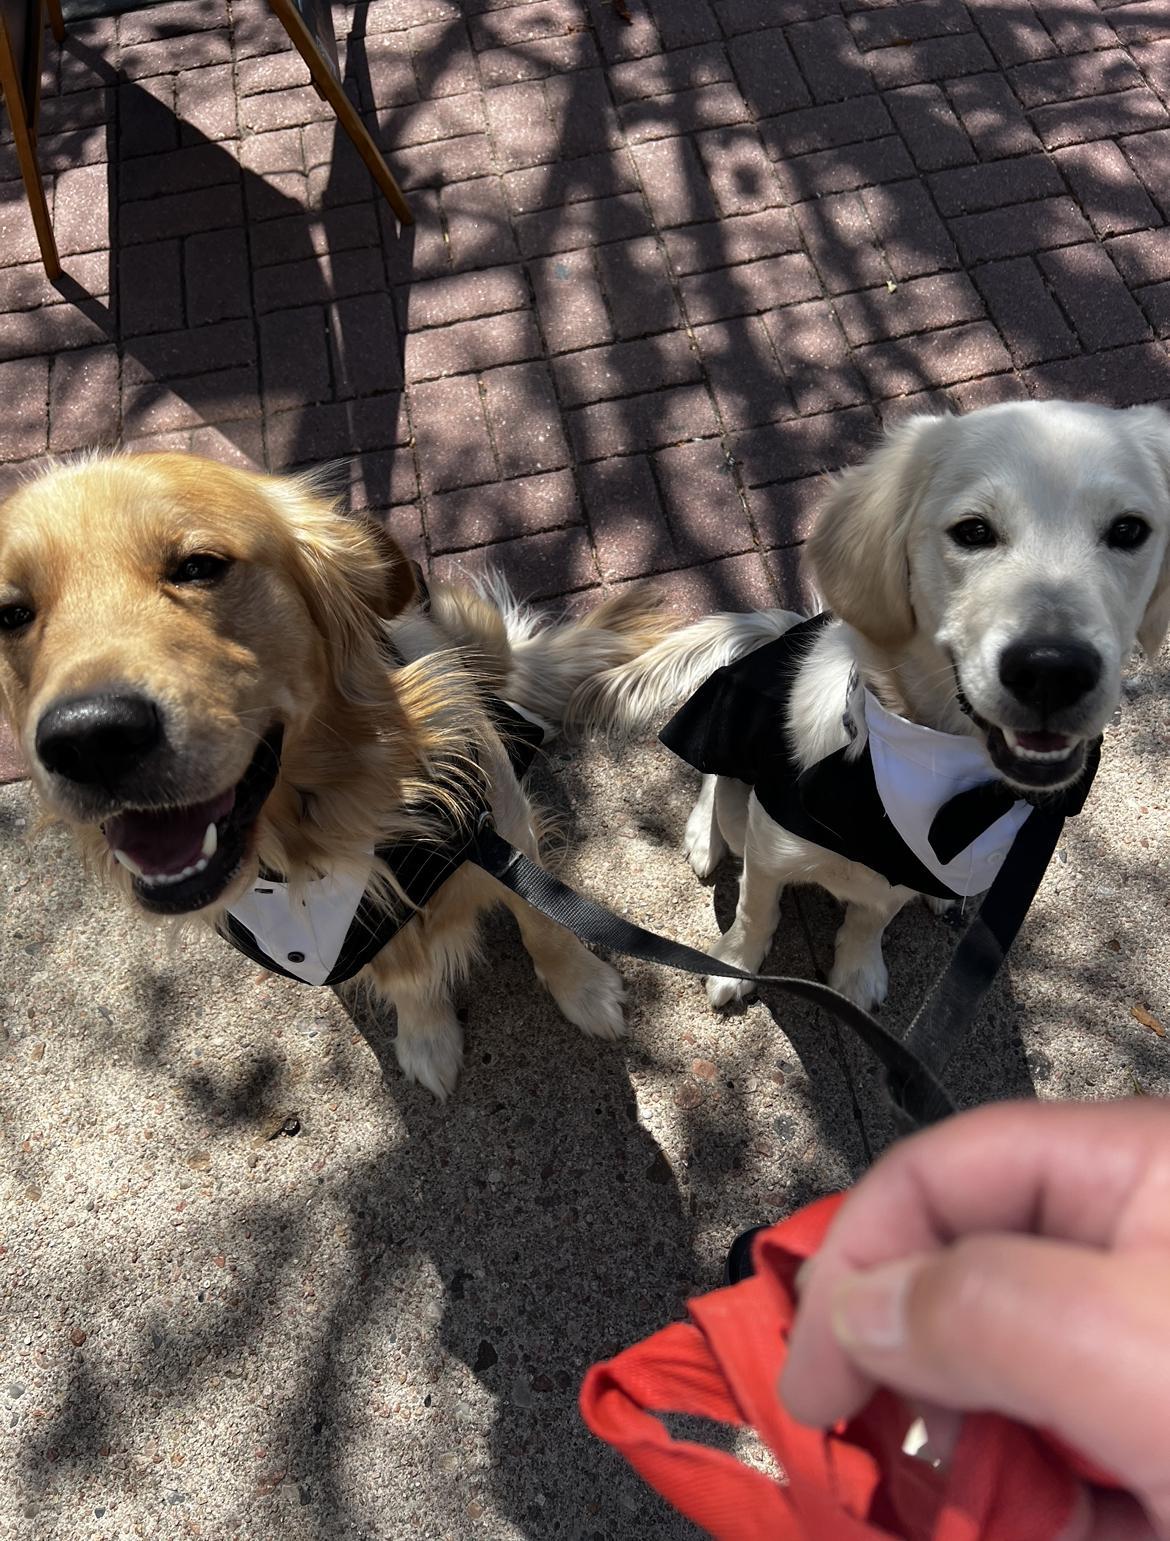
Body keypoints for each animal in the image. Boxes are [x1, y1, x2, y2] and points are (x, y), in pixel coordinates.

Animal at [0, 452, 668, 1098]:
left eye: (198, 566)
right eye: (10, 614)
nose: (89, 740)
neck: (319, 833)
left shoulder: (503, 829)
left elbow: (545, 919)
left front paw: (584, 989)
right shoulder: (355, 940)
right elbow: (409, 980)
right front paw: (427, 1038)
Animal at [574, 400, 1170, 1013]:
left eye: (1129, 530)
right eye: (973, 531)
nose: (1053, 670)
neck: (913, 765)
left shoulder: (897, 879)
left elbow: (869, 921)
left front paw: (858, 973)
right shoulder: (766, 853)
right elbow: (755, 910)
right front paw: (735, 964)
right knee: (717, 782)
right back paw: (703, 837)